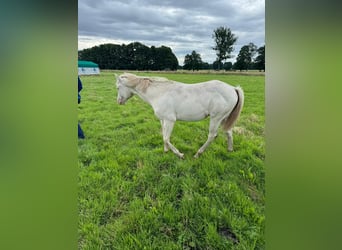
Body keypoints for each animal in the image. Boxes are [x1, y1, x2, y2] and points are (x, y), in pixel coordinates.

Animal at [115, 72, 243, 158]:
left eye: (117, 87)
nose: (119, 102)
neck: (159, 93)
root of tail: (233, 89)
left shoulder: (170, 120)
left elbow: (166, 138)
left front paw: (179, 154)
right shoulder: (163, 120)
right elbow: (164, 136)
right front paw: (166, 150)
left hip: (216, 118)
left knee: (212, 136)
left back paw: (198, 154)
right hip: (224, 118)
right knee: (228, 132)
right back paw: (230, 150)